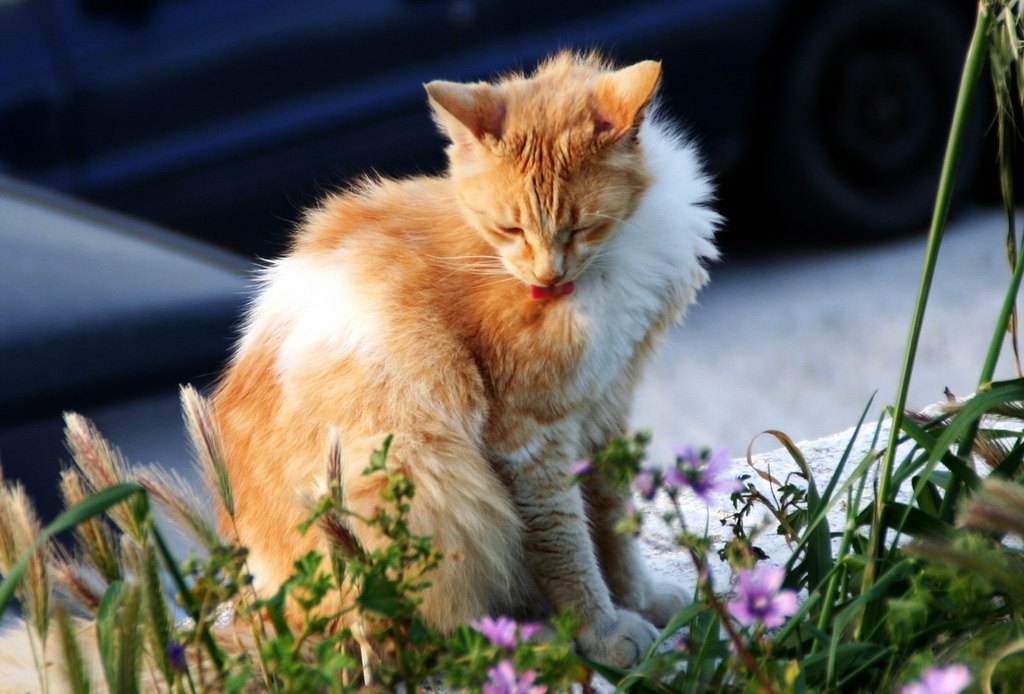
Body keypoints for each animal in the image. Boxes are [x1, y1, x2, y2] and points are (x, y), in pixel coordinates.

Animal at [211, 50, 716, 667]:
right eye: (510, 228)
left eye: (582, 226)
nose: (547, 277)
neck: (610, 258)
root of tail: (269, 610)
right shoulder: (529, 437)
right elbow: (567, 546)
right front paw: (599, 630)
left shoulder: (606, 403)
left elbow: (612, 522)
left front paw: (638, 599)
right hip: (416, 479)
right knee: (423, 629)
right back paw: (521, 640)